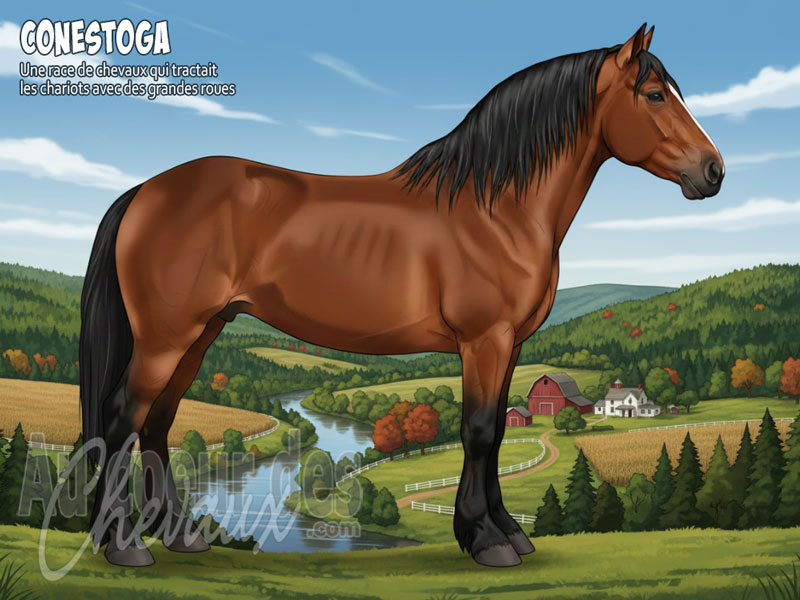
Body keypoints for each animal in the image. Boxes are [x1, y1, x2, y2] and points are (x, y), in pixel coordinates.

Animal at [80, 23, 724, 568]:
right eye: (655, 95)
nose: (713, 170)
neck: (497, 208)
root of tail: (145, 191)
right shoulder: (483, 341)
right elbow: (479, 431)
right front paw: (487, 541)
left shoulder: (510, 345)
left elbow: (494, 434)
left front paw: (509, 533)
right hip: (167, 337)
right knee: (123, 419)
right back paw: (125, 546)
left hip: (201, 332)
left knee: (158, 424)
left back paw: (182, 538)